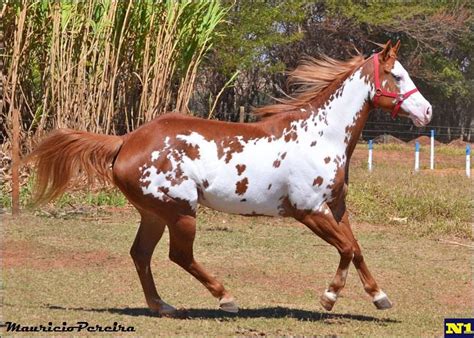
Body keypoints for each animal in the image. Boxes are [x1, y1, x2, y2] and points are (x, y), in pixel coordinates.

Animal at [26, 40, 434, 316]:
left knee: (141, 254)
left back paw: (162, 306)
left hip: (154, 213)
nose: (427, 111)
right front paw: (329, 297)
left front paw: (380, 297)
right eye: (397, 76)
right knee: (179, 255)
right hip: (180, 211)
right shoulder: (308, 211)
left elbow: (357, 248)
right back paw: (226, 298)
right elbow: (347, 248)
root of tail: (126, 141)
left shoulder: (335, 207)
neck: (321, 134)